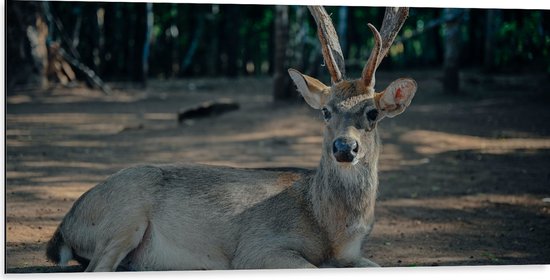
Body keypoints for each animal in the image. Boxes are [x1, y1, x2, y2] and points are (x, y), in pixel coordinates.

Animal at [46, 6, 418, 272]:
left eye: (373, 113)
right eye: (326, 111)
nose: (344, 147)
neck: (331, 229)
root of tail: (64, 228)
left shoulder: (353, 255)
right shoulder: (256, 248)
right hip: (125, 216)